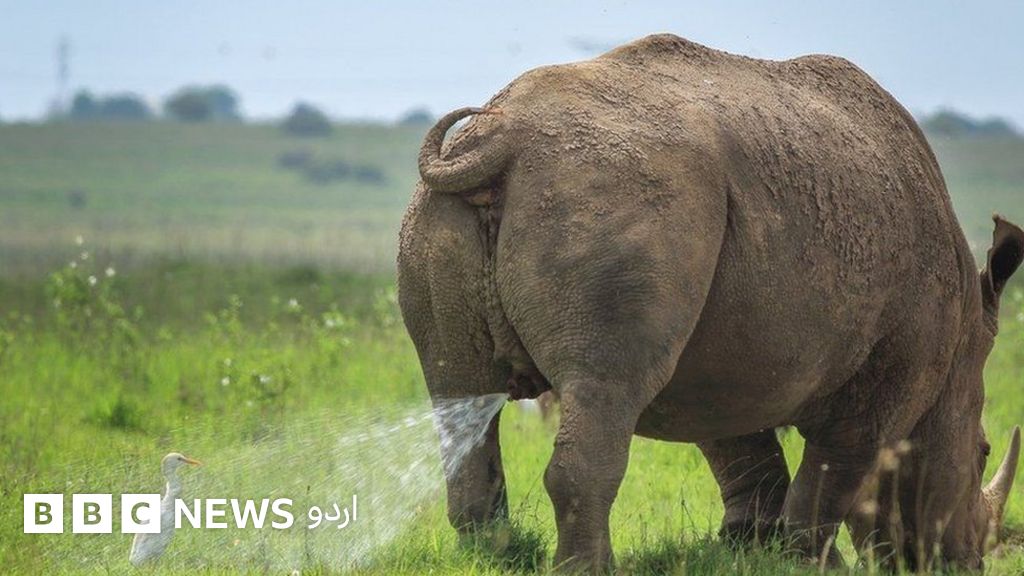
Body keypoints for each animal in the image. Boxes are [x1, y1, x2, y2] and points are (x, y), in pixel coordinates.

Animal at [397, 33, 1022, 571]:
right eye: (984, 451)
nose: (966, 563)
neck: (966, 337)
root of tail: (500, 139)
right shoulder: (896, 365)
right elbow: (838, 465)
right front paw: (810, 564)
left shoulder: (723, 355)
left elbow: (742, 449)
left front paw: (751, 550)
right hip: (618, 198)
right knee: (605, 387)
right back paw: (589, 570)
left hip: (445, 216)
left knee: (458, 393)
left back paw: (492, 559)